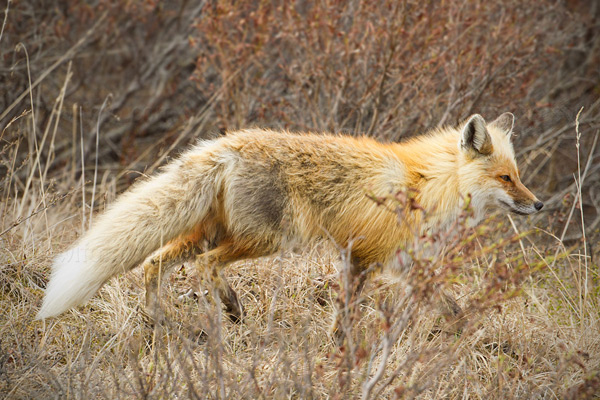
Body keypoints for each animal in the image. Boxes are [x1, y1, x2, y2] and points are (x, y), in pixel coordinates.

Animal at [37, 113, 544, 322]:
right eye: (506, 178)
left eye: (519, 176)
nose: (539, 205)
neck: (428, 185)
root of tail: (226, 144)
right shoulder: (363, 257)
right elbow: (346, 317)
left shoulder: (400, 263)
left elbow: (451, 308)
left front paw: (467, 332)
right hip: (272, 238)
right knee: (205, 267)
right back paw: (229, 310)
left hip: (210, 233)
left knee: (152, 263)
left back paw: (159, 320)